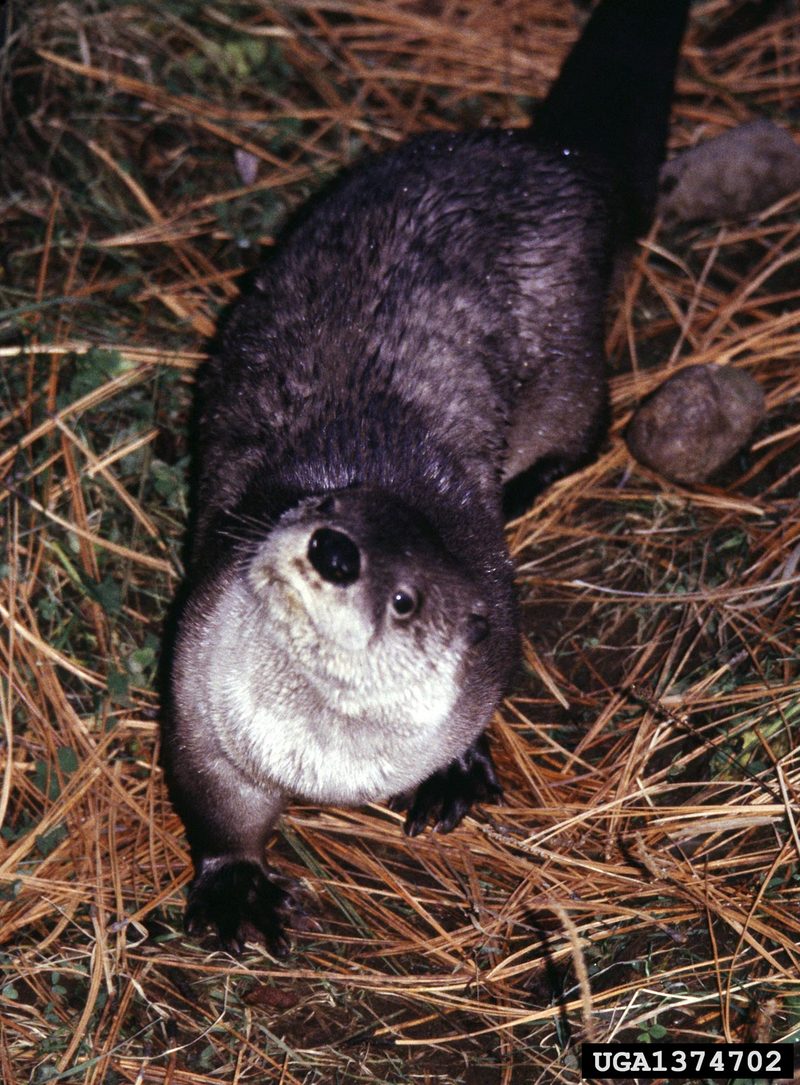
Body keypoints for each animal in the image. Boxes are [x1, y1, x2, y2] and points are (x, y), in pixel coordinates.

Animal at [162, 0, 686, 950]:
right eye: (318, 501)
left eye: (405, 598)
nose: (334, 549)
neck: (326, 757)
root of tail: (555, 160)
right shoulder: (200, 700)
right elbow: (215, 803)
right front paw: (236, 888)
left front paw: (456, 773)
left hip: (566, 364)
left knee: (591, 427)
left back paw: (525, 483)